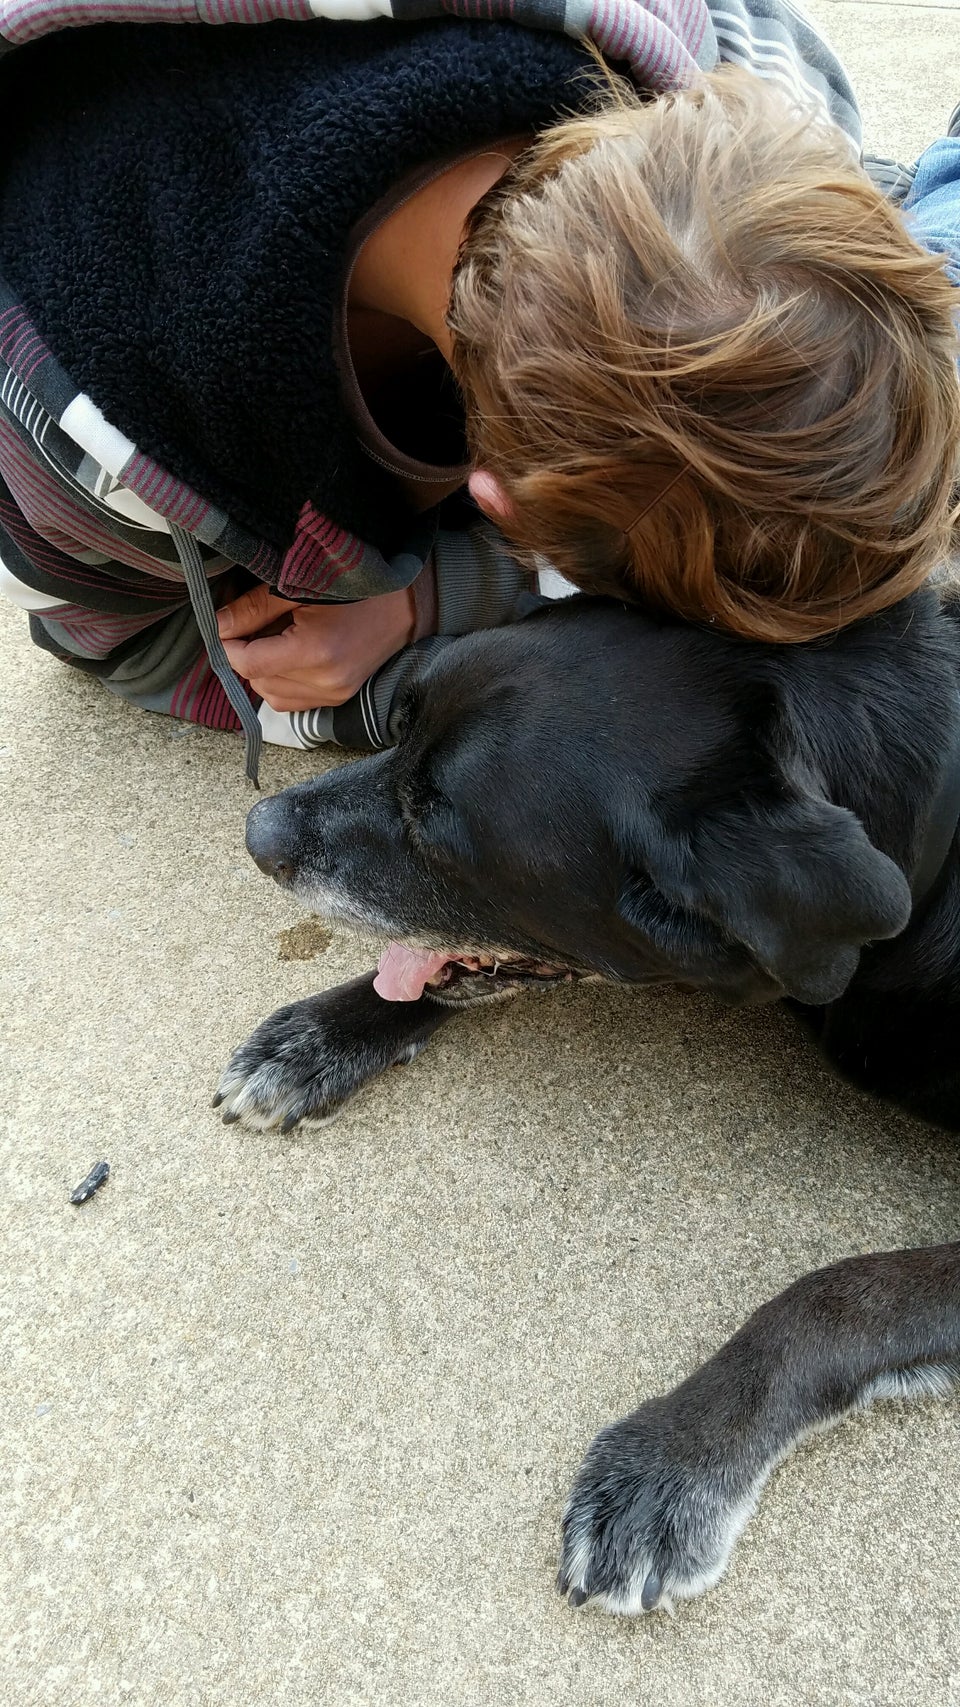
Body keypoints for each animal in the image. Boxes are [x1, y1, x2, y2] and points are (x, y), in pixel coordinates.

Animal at [216, 585, 960, 1615]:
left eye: (439, 827)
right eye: (396, 729)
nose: (256, 833)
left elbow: (837, 1295)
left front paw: (672, 1463)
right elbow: (425, 971)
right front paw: (320, 1033)